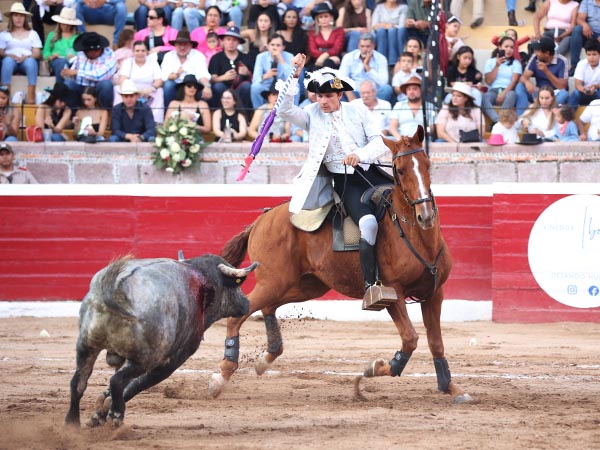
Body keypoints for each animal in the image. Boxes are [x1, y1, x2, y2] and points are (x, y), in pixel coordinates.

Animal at [64, 253, 256, 426]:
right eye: (237, 284)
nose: (246, 303)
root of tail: (115, 289)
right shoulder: (171, 361)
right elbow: (136, 385)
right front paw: (104, 413)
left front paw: (100, 411)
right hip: (146, 357)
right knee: (117, 381)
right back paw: (116, 416)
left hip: (86, 345)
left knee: (78, 382)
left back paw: (72, 424)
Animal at [213, 126, 472, 404]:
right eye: (400, 170)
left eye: (427, 164)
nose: (425, 216)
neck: (416, 237)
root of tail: (263, 218)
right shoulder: (391, 293)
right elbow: (410, 339)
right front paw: (373, 369)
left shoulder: (434, 294)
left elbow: (436, 342)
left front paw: (451, 387)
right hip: (273, 281)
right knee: (238, 315)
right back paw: (221, 377)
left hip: (306, 285)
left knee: (268, 307)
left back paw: (264, 359)